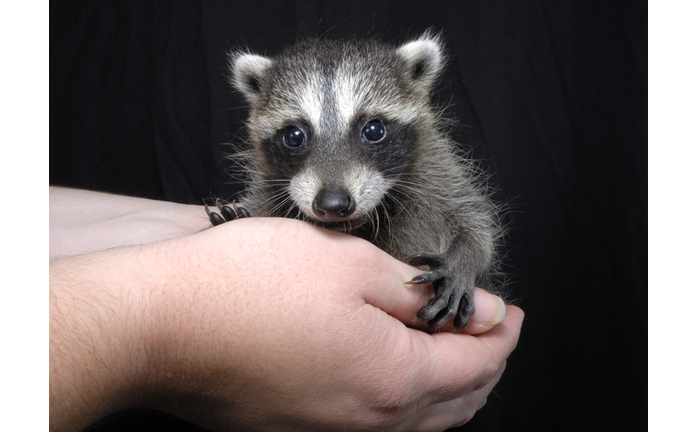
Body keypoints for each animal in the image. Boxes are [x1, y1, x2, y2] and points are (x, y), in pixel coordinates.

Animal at [209, 33, 502, 330]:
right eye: (293, 136)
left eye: (373, 130)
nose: (333, 203)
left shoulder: (436, 170)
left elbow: (474, 218)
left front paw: (463, 259)